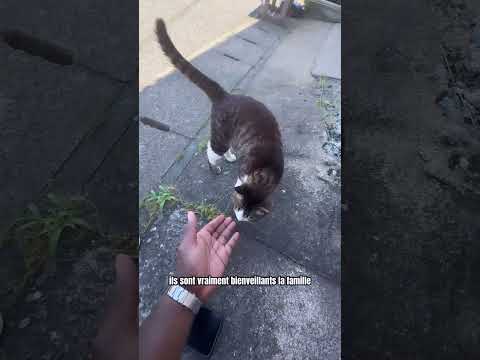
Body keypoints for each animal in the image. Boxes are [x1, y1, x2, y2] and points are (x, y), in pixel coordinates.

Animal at [154, 20, 284, 222]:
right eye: (238, 207)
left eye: (248, 217)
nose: (238, 219)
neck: (267, 172)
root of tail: (225, 95)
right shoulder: (243, 175)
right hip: (220, 136)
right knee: (211, 149)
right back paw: (214, 165)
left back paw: (230, 156)